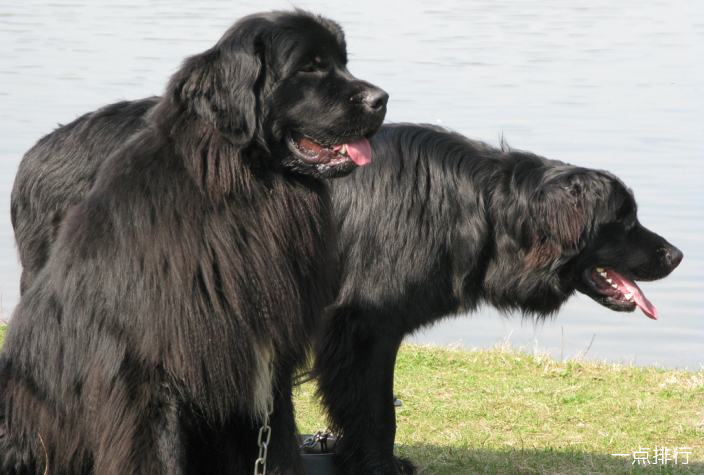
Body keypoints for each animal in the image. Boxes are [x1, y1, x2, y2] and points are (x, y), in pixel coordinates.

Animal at [0, 11, 388, 475]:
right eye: (309, 67)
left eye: (343, 61)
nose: (382, 98)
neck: (247, 192)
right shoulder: (152, 377)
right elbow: (157, 455)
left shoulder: (266, 374)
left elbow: (277, 449)